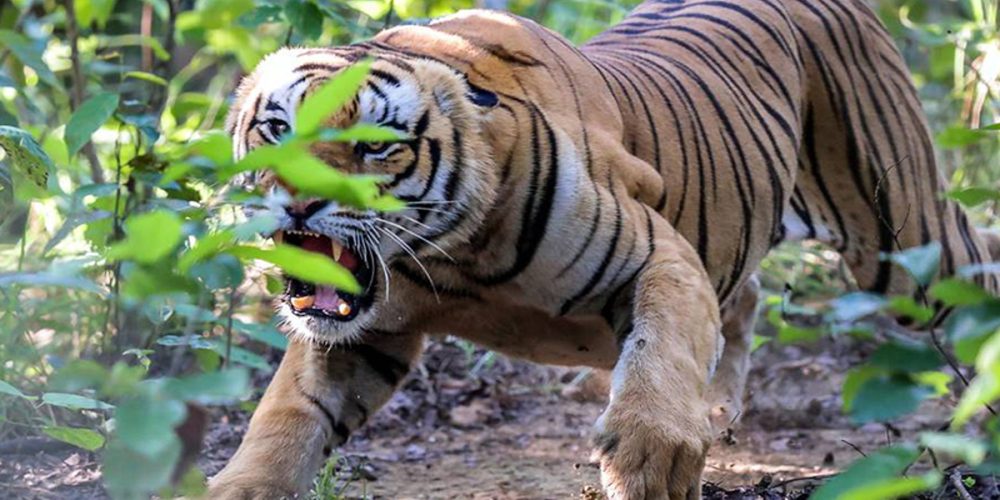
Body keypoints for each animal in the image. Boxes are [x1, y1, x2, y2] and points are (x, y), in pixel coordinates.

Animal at [211, 0, 1000, 500]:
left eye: (375, 145)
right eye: (276, 128)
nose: (298, 202)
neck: (449, 259)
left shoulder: (658, 256)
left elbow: (661, 348)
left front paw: (652, 455)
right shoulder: (360, 335)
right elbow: (288, 416)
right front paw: (236, 486)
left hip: (908, 243)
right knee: (741, 297)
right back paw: (716, 410)